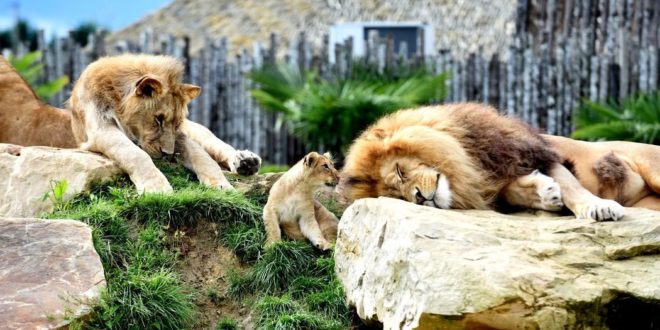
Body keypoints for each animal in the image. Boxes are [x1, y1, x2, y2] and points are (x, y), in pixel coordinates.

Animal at [342, 103, 628, 222]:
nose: (420, 198)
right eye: (399, 198)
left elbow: (572, 186)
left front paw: (598, 207)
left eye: (400, 171)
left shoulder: (527, 150)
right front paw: (543, 193)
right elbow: (510, 191)